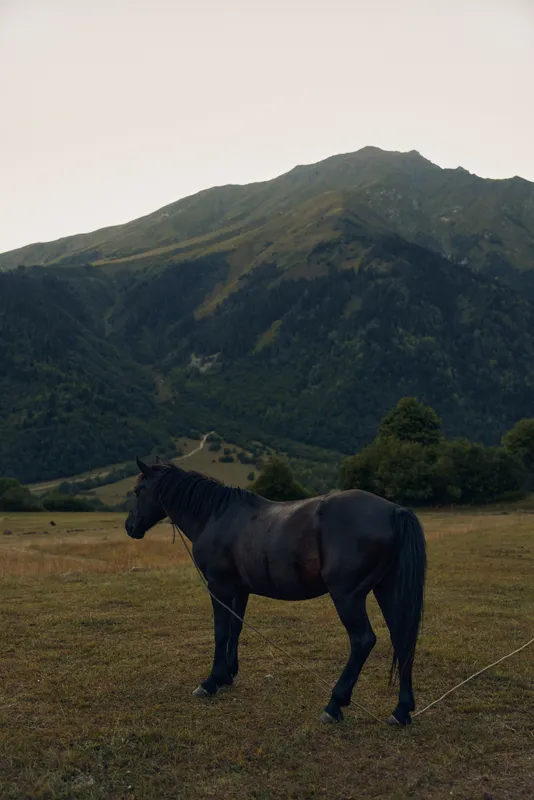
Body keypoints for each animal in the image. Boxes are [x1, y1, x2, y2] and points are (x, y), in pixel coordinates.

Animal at [125, 459, 427, 726]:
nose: (130, 527)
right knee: (402, 638)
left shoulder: (219, 586)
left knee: (363, 640)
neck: (216, 516)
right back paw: (401, 711)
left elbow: (220, 631)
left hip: (347, 597)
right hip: (386, 590)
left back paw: (334, 705)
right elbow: (235, 628)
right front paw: (228, 674)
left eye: (139, 491)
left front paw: (211, 681)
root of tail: (394, 511)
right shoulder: (239, 589)